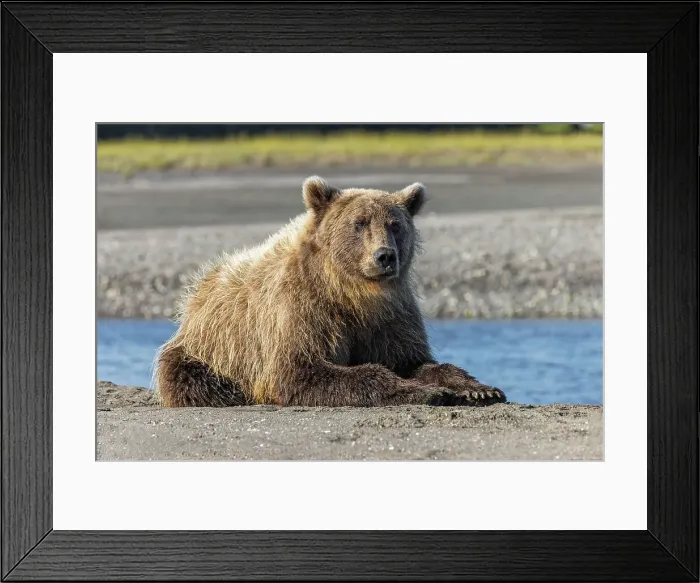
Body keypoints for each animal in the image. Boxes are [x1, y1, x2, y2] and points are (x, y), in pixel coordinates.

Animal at [154, 176, 507, 408]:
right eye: (359, 223)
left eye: (395, 225)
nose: (385, 256)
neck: (353, 292)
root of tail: (202, 286)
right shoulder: (303, 310)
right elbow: (301, 372)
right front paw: (426, 392)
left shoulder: (390, 316)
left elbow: (414, 360)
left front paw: (478, 389)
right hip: (208, 349)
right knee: (191, 378)